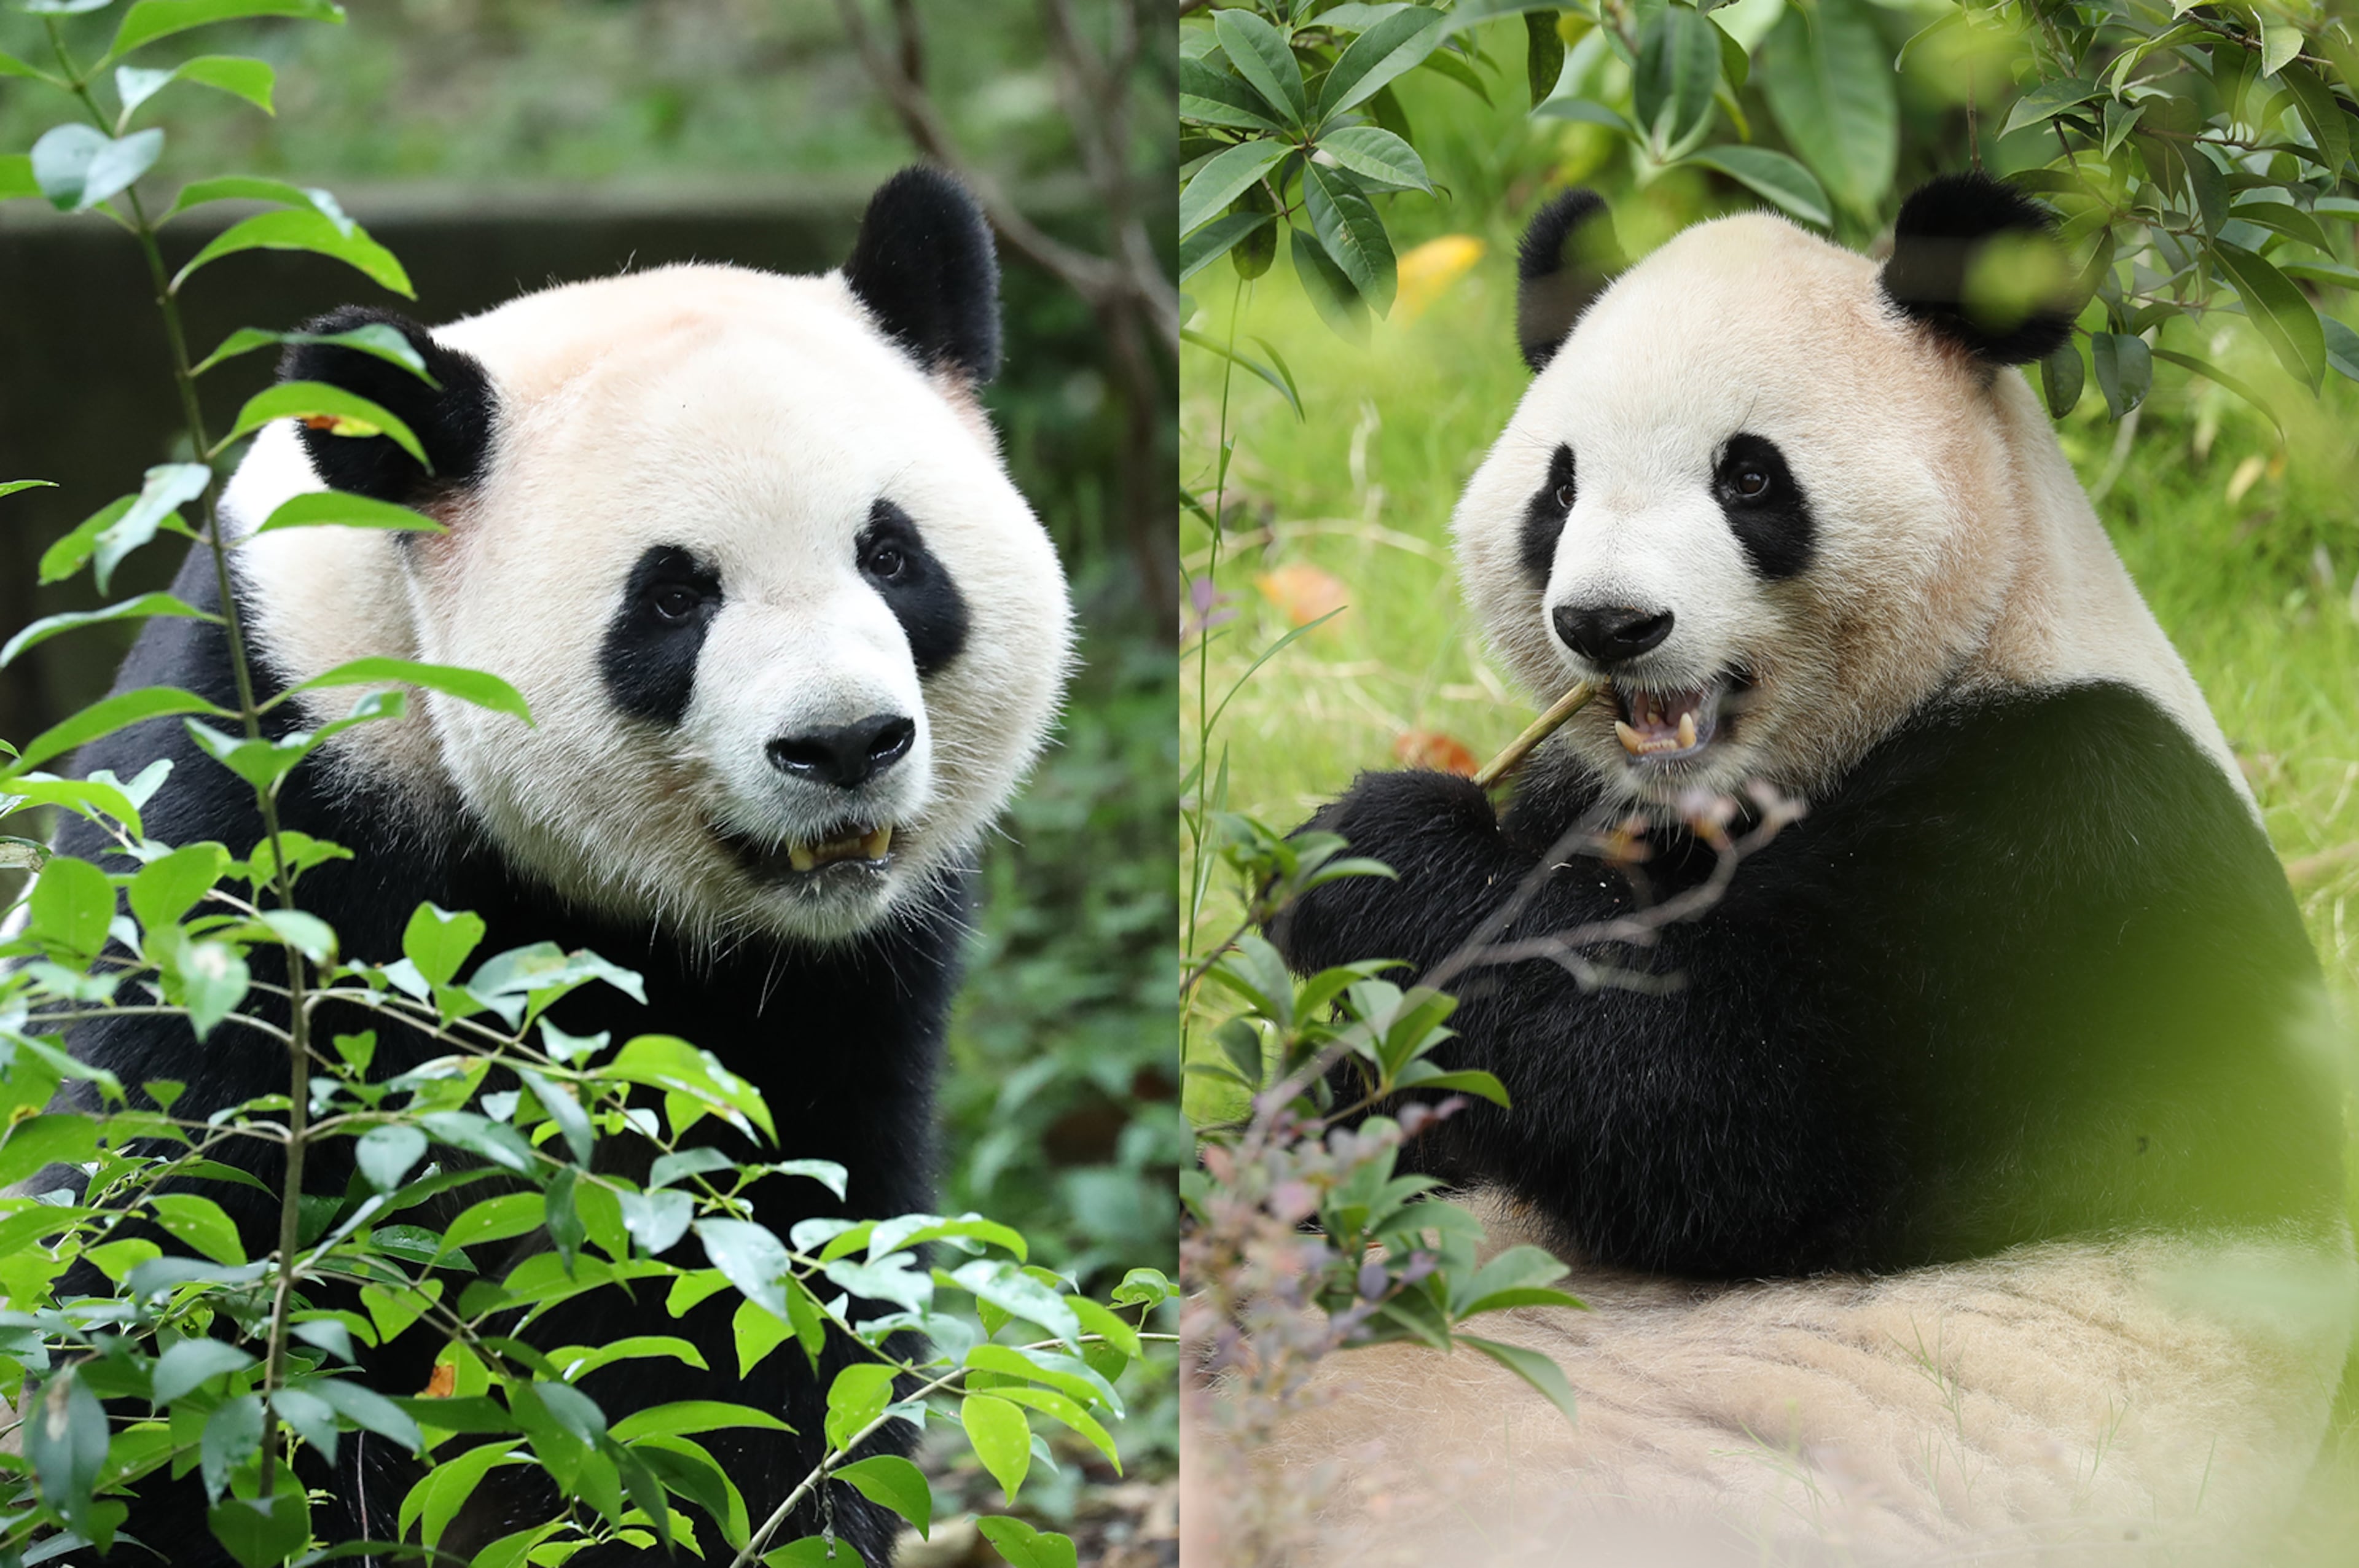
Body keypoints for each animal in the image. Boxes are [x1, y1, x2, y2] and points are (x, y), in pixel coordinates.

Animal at [39, 167, 1072, 1564]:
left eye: (893, 555)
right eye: (675, 597)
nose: (845, 743)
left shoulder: (841, 987)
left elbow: (771, 1269)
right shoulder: (265, 812)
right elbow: (172, 1221)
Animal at [1258, 175, 2356, 1561]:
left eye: (1748, 475)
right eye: (1559, 488)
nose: (1609, 623)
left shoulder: (2073, 834)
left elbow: (1711, 1095)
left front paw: (1374, 850)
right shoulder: (1598, 801)